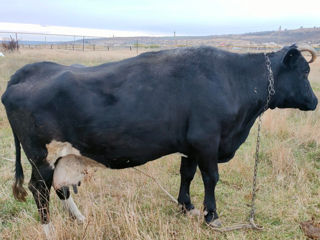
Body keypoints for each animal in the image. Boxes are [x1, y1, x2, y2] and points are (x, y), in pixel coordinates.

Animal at [1, 44, 318, 238]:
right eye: (304, 72)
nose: (315, 101)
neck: (233, 80)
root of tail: (26, 72)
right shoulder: (207, 141)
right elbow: (211, 178)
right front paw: (211, 216)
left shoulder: (191, 145)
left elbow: (187, 174)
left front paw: (186, 207)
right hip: (40, 154)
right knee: (39, 189)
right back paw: (49, 230)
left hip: (63, 157)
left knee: (61, 189)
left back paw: (79, 219)